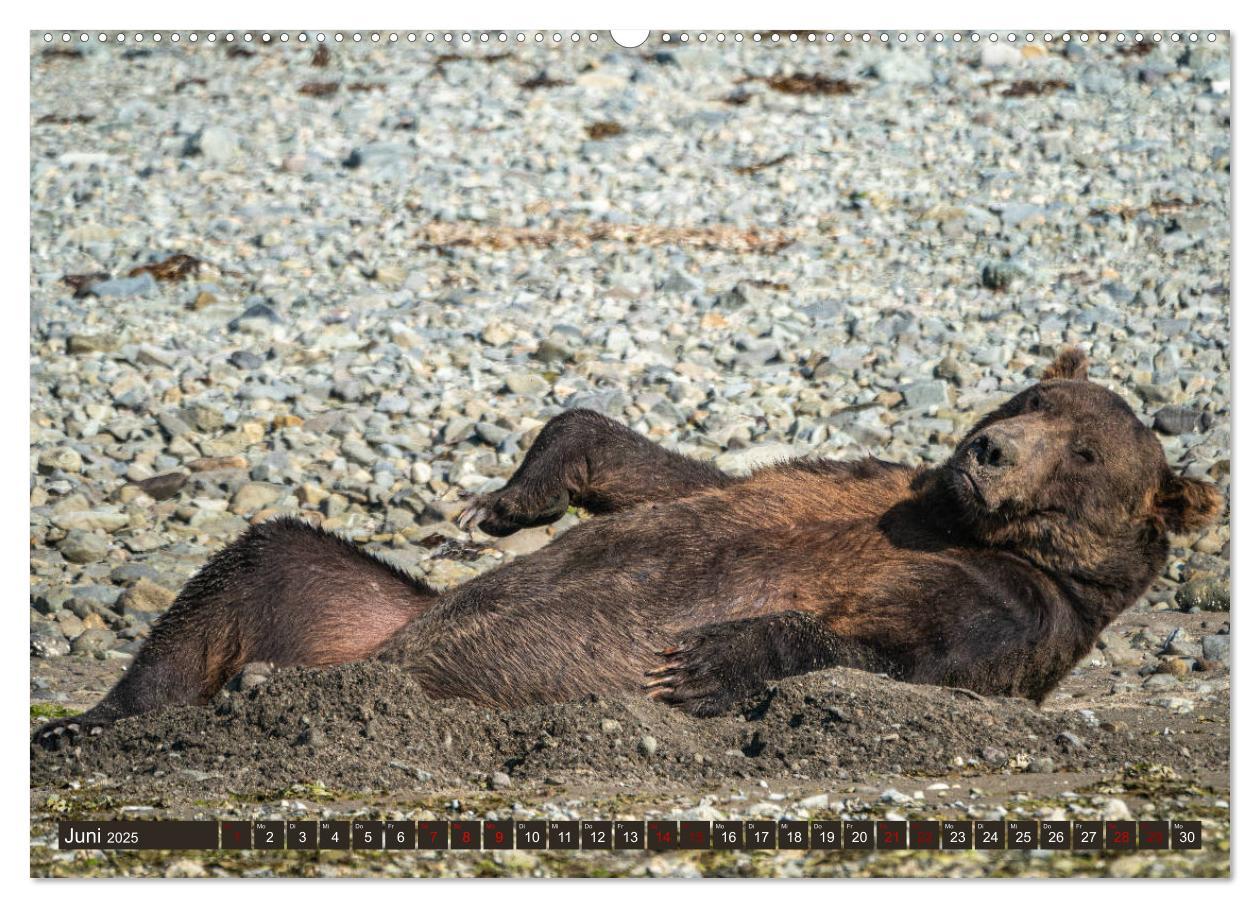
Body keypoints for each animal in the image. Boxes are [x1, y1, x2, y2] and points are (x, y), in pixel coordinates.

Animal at [36, 345, 1219, 745]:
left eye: (1086, 453)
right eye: (1031, 395)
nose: (989, 449)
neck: (964, 522)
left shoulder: (1010, 603)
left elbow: (902, 653)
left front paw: (709, 657)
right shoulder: (876, 487)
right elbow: (670, 476)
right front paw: (502, 502)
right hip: (362, 612)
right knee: (264, 561)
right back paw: (97, 721)